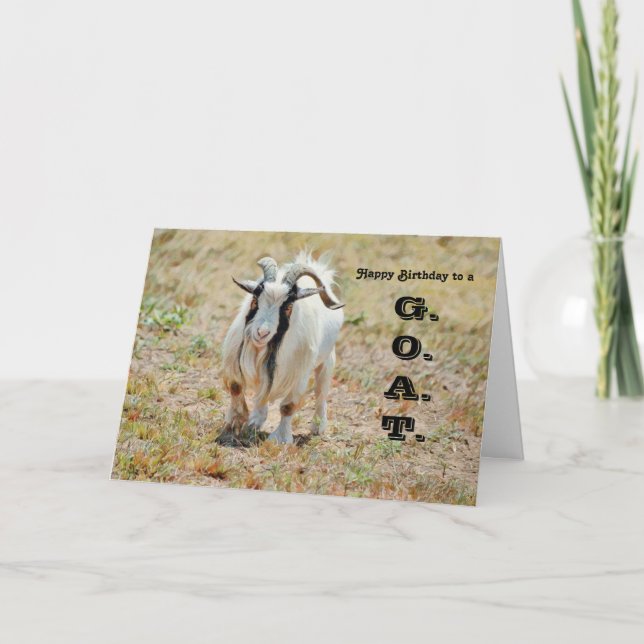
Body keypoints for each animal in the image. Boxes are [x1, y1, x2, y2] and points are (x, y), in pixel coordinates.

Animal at [221, 252, 344, 444]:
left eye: (288, 306)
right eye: (255, 300)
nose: (262, 333)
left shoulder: (299, 373)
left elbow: (288, 406)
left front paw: (280, 438)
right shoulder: (236, 359)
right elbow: (236, 386)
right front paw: (235, 422)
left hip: (327, 361)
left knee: (321, 393)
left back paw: (318, 427)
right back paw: (256, 420)